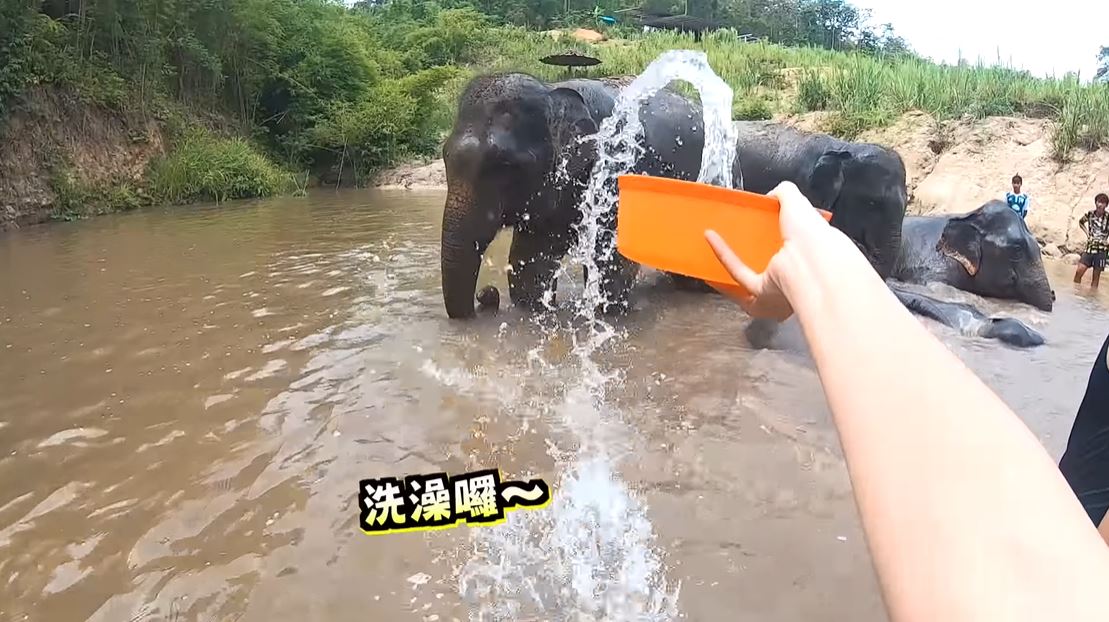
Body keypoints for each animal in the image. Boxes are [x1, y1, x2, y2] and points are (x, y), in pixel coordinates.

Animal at [440, 72, 743, 319]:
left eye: (504, 165)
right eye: (445, 155)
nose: (487, 295)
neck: (552, 91)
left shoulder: (619, 168)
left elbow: (611, 258)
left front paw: (606, 313)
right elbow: (531, 259)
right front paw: (534, 310)